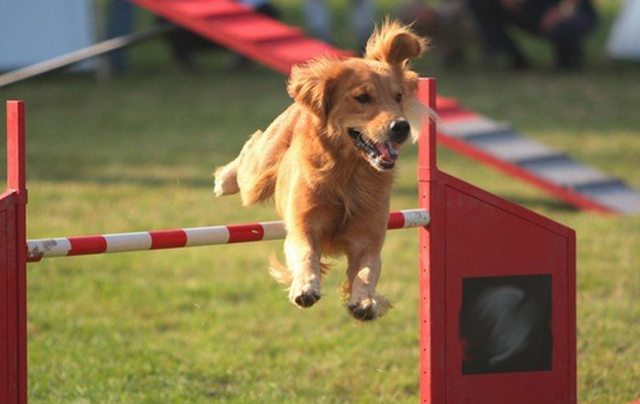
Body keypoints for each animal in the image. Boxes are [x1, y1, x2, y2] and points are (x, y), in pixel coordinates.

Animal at [215, 20, 430, 320]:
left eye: (398, 96)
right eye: (362, 97)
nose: (401, 126)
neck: (347, 173)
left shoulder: (368, 236)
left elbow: (367, 270)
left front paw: (365, 301)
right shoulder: (303, 224)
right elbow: (306, 253)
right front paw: (305, 287)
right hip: (258, 174)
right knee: (251, 148)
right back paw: (223, 180)